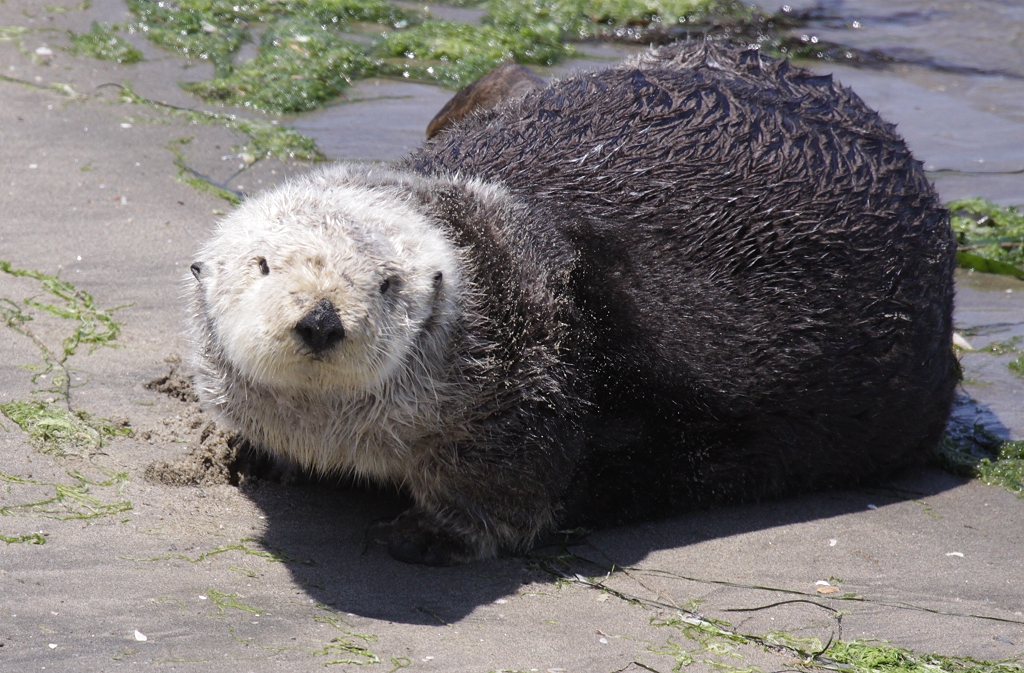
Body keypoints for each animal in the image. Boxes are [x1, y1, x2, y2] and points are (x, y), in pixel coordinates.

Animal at [187, 43, 958, 566]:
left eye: (387, 285)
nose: (321, 318)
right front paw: (250, 450)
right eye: (264, 264)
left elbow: (514, 494)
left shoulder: (535, 393)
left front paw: (426, 533)